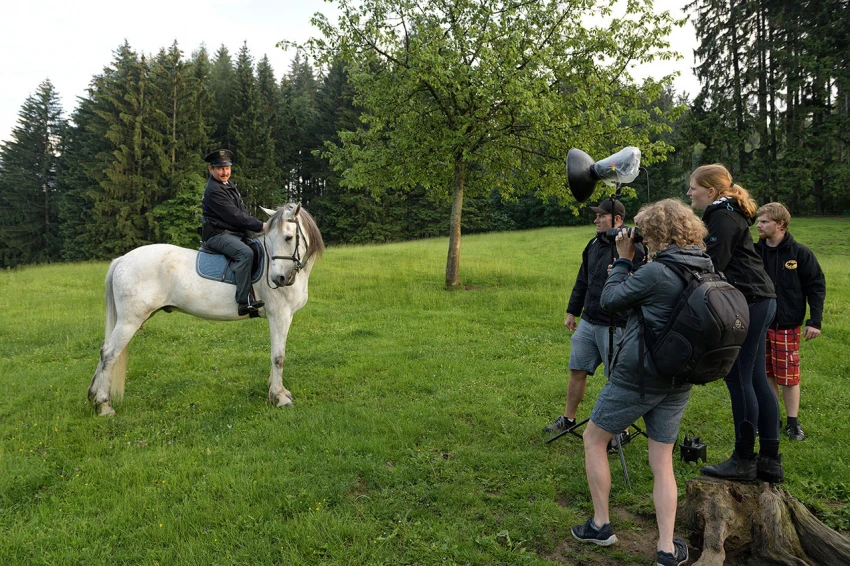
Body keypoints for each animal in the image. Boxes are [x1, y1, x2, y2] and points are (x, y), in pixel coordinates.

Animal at [88, 204, 322, 418]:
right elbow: (278, 356)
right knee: (109, 353)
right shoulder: (279, 315)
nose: (277, 279)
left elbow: (275, 354)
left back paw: (93, 396)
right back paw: (104, 405)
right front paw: (279, 397)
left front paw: (276, 390)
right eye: (271, 240)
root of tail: (122, 259)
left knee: (104, 350)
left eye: (288, 238)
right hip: (129, 321)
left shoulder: (283, 316)